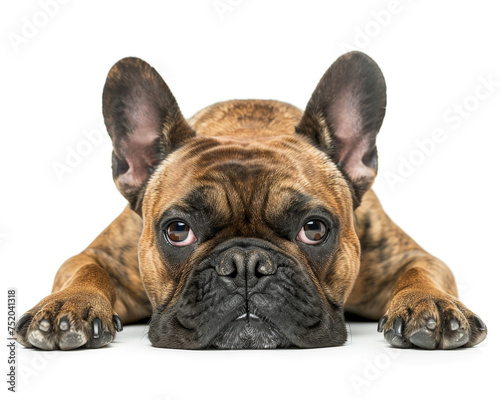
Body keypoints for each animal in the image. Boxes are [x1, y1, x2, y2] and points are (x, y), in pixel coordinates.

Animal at [13, 51, 486, 348]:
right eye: (177, 231)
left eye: (314, 229)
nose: (244, 265)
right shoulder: (105, 254)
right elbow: (84, 269)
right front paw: (67, 305)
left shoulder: (404, 255)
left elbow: (423, 271)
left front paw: (431, 306)